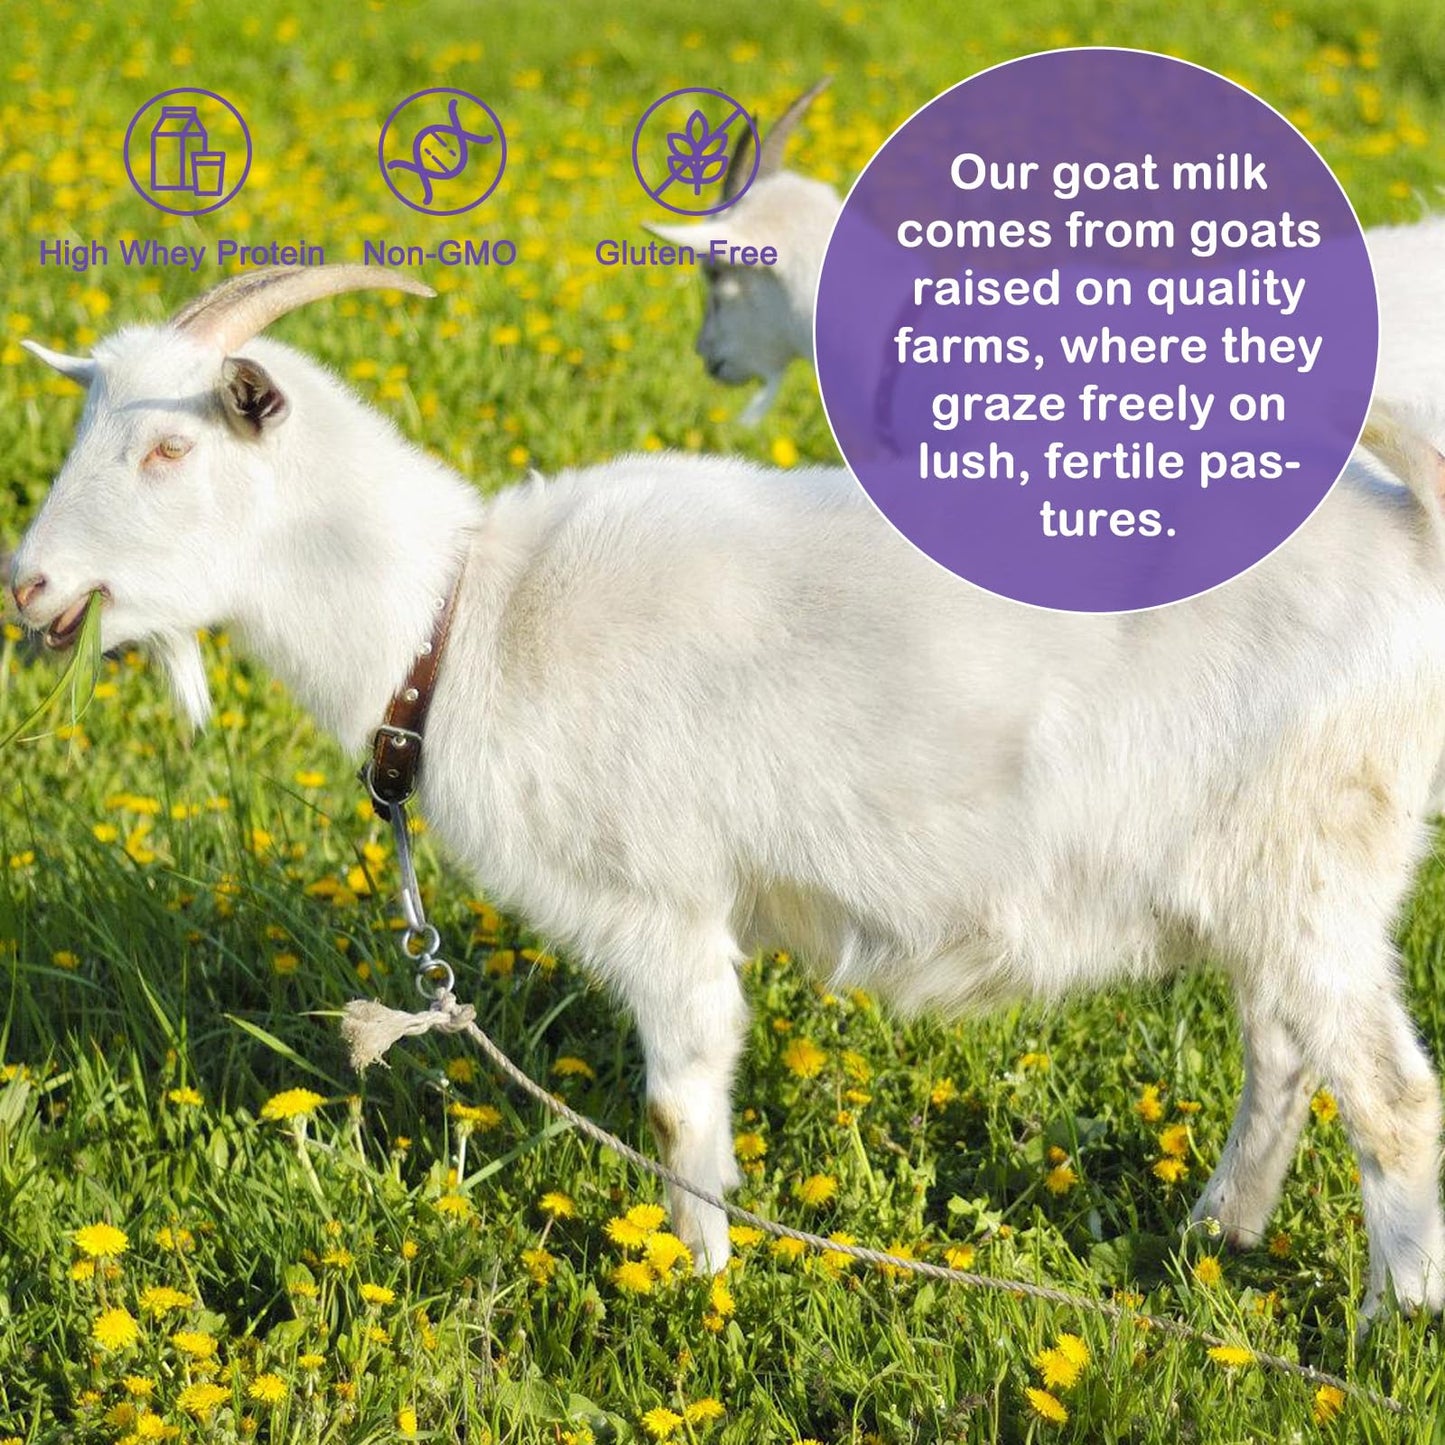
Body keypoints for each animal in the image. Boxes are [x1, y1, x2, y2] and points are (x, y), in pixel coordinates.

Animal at [12, 265, 1445, 1321]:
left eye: (166, 452)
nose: (28, 586)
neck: (467, 616)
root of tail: (1407, 527)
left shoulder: (660, 899)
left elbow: (676, 1099)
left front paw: (691, 1279)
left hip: (1318, 857)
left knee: (1388, 1095)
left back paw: (1385, 1325)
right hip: (1271, 876)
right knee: (1281, 1053)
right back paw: (1217, 1238)